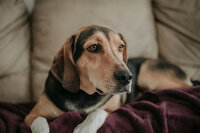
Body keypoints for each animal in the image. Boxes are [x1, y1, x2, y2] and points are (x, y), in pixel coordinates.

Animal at [24, 25, 190, 133]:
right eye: (93, 47)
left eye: (121, 47)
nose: (127, 77)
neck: (84, 95)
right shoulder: (31, 115)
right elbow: (40, 123)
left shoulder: (113, 108)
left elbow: (97, 112)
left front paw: (84, 128)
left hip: (147, 75)